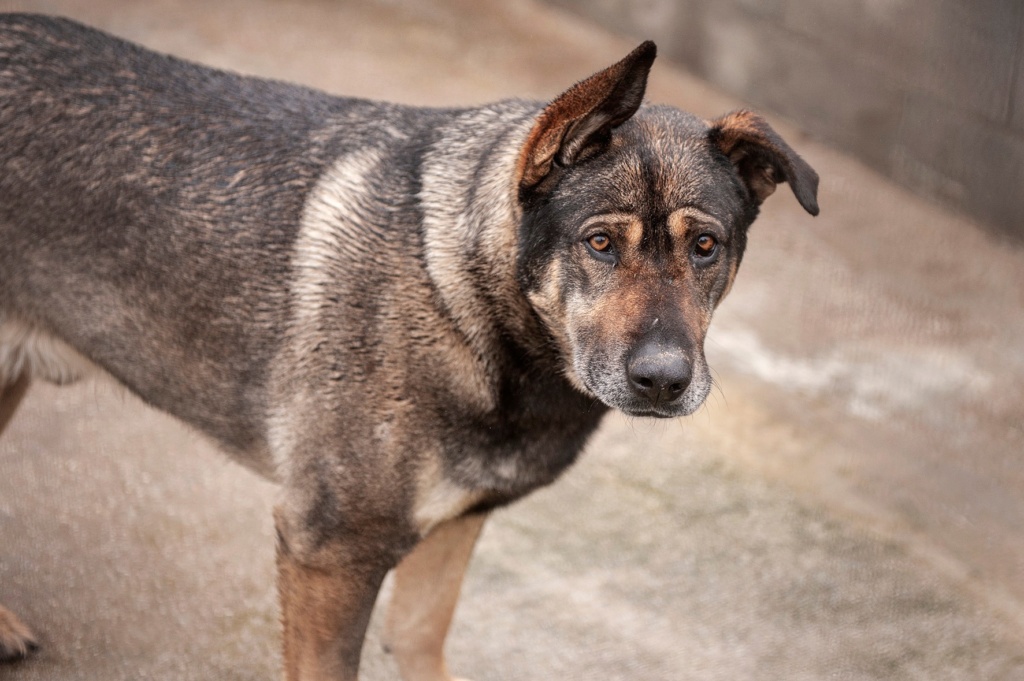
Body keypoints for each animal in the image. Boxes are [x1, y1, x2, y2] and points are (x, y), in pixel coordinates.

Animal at [0, 14, 815, 679]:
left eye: (706, 247)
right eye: (600, 243)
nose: (663, 380)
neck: (472, 300)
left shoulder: (452, 531)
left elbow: (422, 637)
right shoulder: (331, 553)